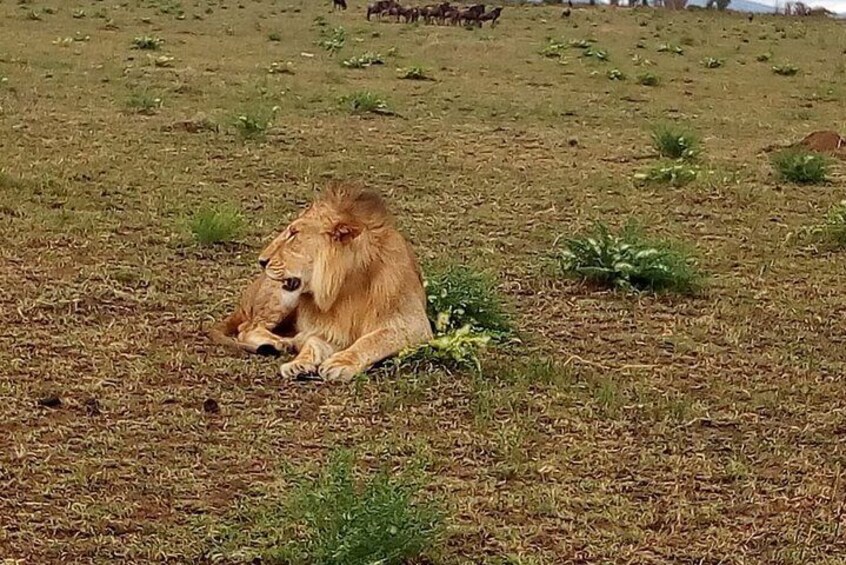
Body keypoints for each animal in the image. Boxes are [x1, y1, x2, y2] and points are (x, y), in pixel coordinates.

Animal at [258, 182, 433, 382]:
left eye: (294, 233)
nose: (261, 261)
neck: (344, 285)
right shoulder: (332, 330)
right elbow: (312, 343)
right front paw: (298, 363)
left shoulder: (415, 325)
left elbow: (371, 340)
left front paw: (339, 363)